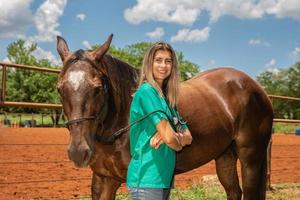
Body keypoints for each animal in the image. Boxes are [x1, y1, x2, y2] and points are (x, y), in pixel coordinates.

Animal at [56, 34, 274, 200]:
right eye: (59, 89)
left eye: (98, 88)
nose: (78, 151)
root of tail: (257, 88)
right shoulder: (103, 179)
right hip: (225, 155)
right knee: (234, 192)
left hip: (250, 158)